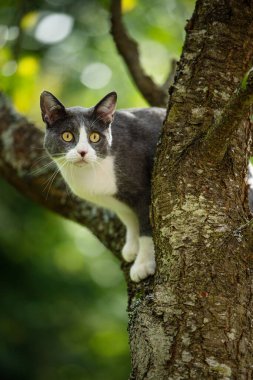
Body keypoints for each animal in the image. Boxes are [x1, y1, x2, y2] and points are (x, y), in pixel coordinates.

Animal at [40, 90, 165, 282]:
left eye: (94, 137)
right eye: (67, 135)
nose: (82, 152)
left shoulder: (143, 192)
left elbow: (145, 226)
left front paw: (143, 265)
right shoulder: (118, 201)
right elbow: (128, 218)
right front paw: (132, 247)